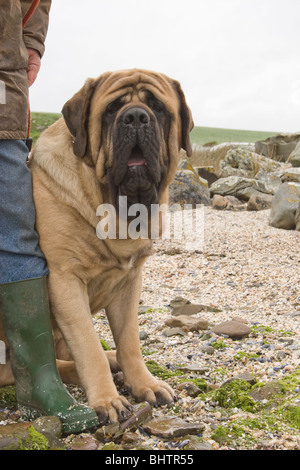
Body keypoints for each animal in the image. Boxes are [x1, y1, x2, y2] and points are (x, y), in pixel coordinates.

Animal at [3, 70, 193, 426]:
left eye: (158, 107)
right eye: (112, 109)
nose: (136, 117)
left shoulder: (129, 283)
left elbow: (130, 341)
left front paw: (144, 383)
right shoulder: (65, 281)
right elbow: (88, 346)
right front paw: (108, 400)